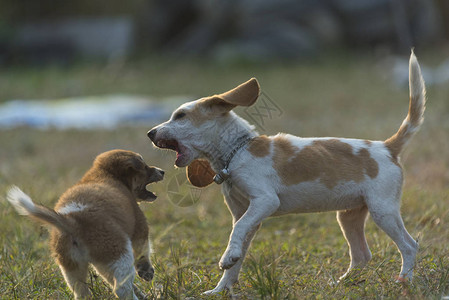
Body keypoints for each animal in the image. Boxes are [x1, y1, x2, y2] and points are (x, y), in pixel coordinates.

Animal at [6, 149, 164, 298]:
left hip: (72, 267)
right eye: (144, 166)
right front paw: (147, 271)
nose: (162, 171)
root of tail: (72, 220)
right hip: (118, 253)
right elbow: (144, 250)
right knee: (122, 289)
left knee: (82, 293)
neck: (105, 175)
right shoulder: (139, 227)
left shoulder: (101, 263)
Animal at [146, 52, 424, 296]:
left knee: (409, 246)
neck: (237, 151)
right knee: (362, 256)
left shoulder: (264, 202)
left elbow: (237, 232)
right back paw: (343, 283)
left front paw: (226, 258)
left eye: (180, 116)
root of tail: (387, 147)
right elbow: (237, 251)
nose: (150, 133)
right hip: (349, 216)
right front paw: (220, 288)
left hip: (383, 210)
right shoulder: (244, 214)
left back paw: (404, 281)